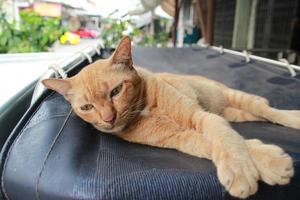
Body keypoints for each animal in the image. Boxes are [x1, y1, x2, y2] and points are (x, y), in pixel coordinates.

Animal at [41, 37, 298, 198]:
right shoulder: (182, 138)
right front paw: (262, 160)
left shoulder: (198, 115)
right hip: (236, 114)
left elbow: (225, 137)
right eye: (87, 107)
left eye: (116, 91)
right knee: (253, 116)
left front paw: (241, 167)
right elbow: (219, 144)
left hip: (237, 98)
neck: (144, 108)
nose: (108, 119)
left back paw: (294, 117)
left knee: (268, 110)